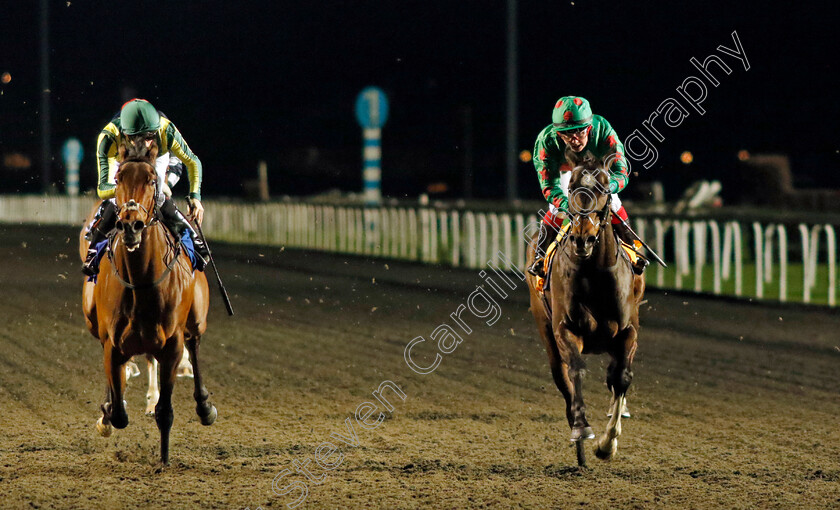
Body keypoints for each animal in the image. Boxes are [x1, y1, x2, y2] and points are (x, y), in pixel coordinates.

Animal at [82, 139, 217, 466]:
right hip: (94, 322)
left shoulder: (172, 344)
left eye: (152, 180)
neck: (142, 281)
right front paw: (108, 413)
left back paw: (204, 406)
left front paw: (165, 462)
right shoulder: (112, 343)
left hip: (196, 320)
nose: (132, 225)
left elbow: (165, 412)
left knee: (194, 348)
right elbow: (119, 413)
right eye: (118, 179)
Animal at [528, 159, 648, 466]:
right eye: (571, 189)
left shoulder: (628, 331)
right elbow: (576, 371)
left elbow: (621, 377)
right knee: (562, 378)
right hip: (545, 328)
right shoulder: (566, 330)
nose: (583, 239)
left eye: (604, 189)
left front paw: (608, 444)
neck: (597, 275)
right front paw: (582, 429)